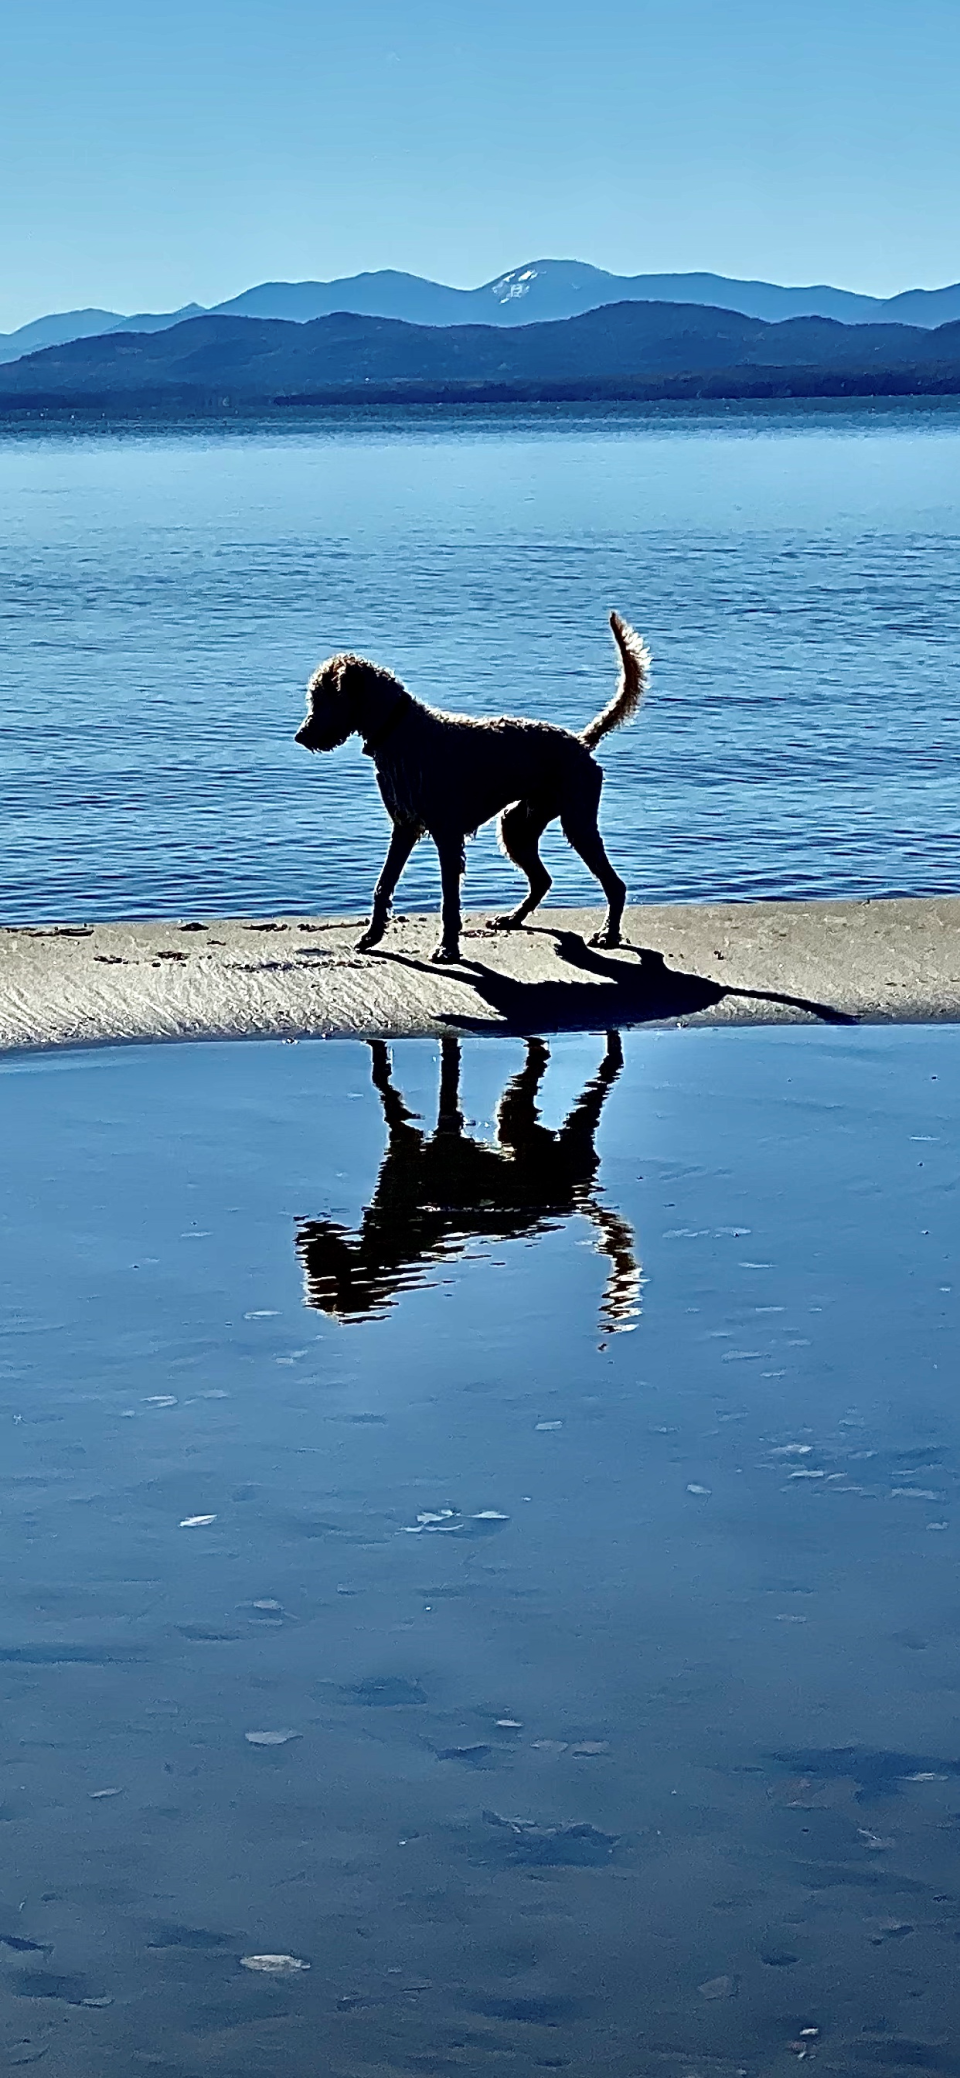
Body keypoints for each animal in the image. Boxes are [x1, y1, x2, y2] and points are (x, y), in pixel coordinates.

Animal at [295, 606, 652, 964]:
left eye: (322, 698)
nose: (300, 736)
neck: (397, 730)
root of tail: (580, 743)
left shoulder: (447, 836)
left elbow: (449, 899)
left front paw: (447, 948)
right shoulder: (404, 827)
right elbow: (384, 884)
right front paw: (372, 936)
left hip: (577, 822)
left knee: (613, 884)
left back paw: (608, 934)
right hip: (518, 825)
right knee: (542, 879)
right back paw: (513, 918)